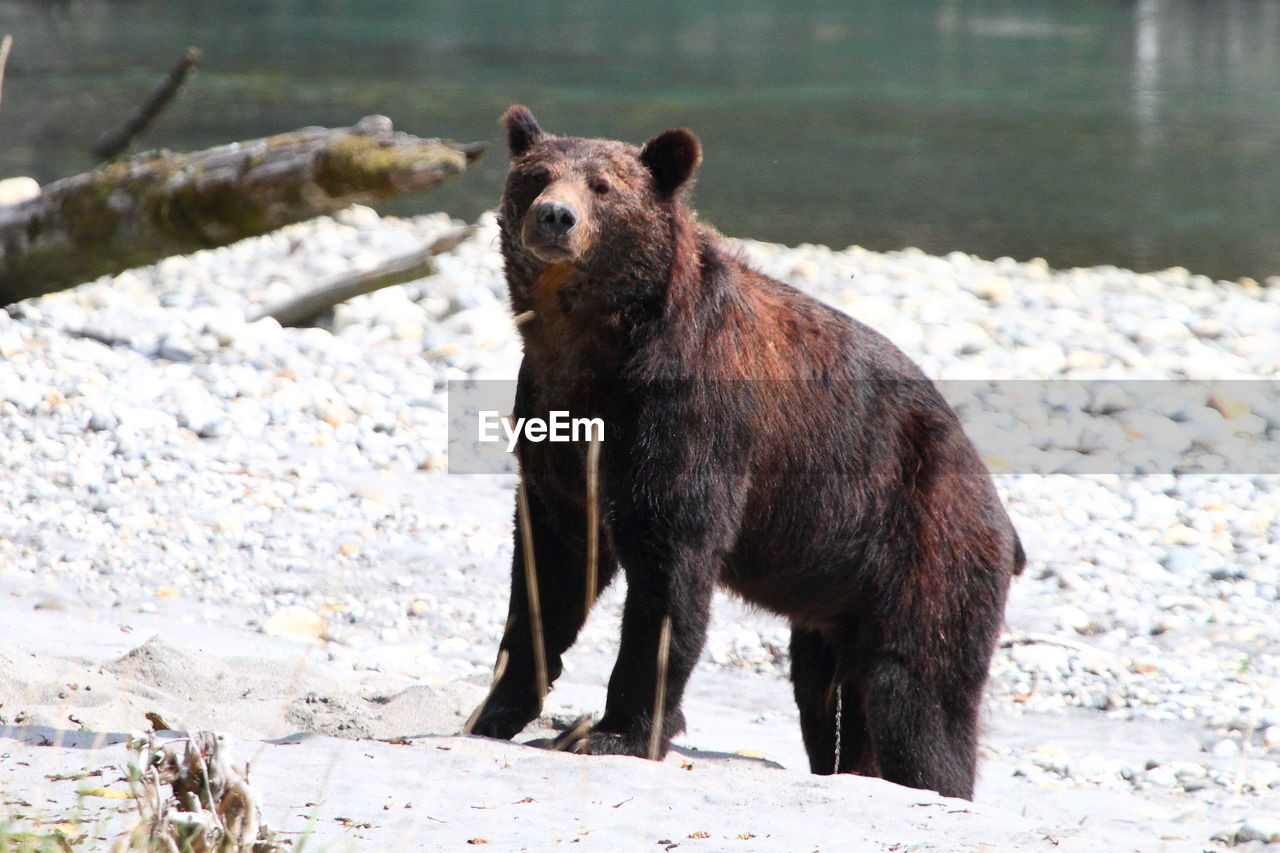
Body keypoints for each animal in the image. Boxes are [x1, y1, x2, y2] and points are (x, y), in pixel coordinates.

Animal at [465, 104, 1024, 799]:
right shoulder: (553, 426)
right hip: (839, 591)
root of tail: (998, 507)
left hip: (925, 543)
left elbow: (669, 567)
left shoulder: (688, 416)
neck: (596, 345)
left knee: (915, 691)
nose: (554, 217)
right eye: (538, 175)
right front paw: (494, 710)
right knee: (828, 694)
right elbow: (553, 567)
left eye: (603, 187)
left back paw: (931, 781)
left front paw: (618, 732)